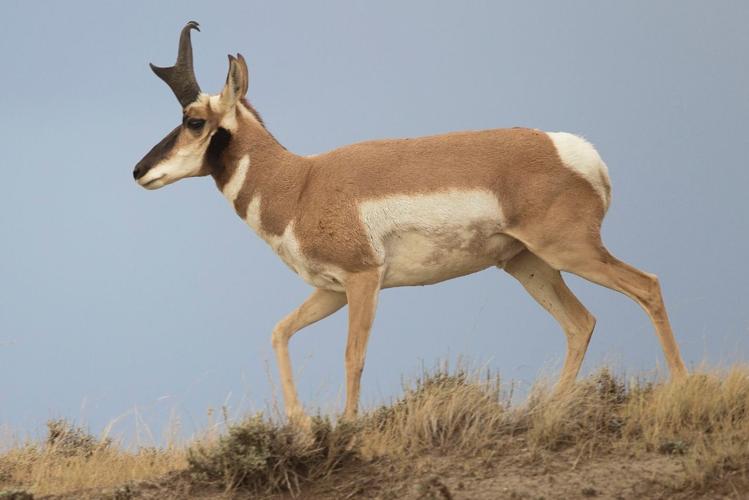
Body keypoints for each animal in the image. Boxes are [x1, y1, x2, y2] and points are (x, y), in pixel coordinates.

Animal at [133, 22, 687, 420]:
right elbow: (279, 333)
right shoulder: (330, 292)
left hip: (569, 252)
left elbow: (352, 355)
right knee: (580, 323)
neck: (301, 182)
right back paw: (545, 409)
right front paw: (301, 425)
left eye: (194, 121)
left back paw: (681, 385)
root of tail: (575, 150)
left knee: (647, 286)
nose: (138, 171)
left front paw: (347, 426)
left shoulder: (362, 281)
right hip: (529, 266)